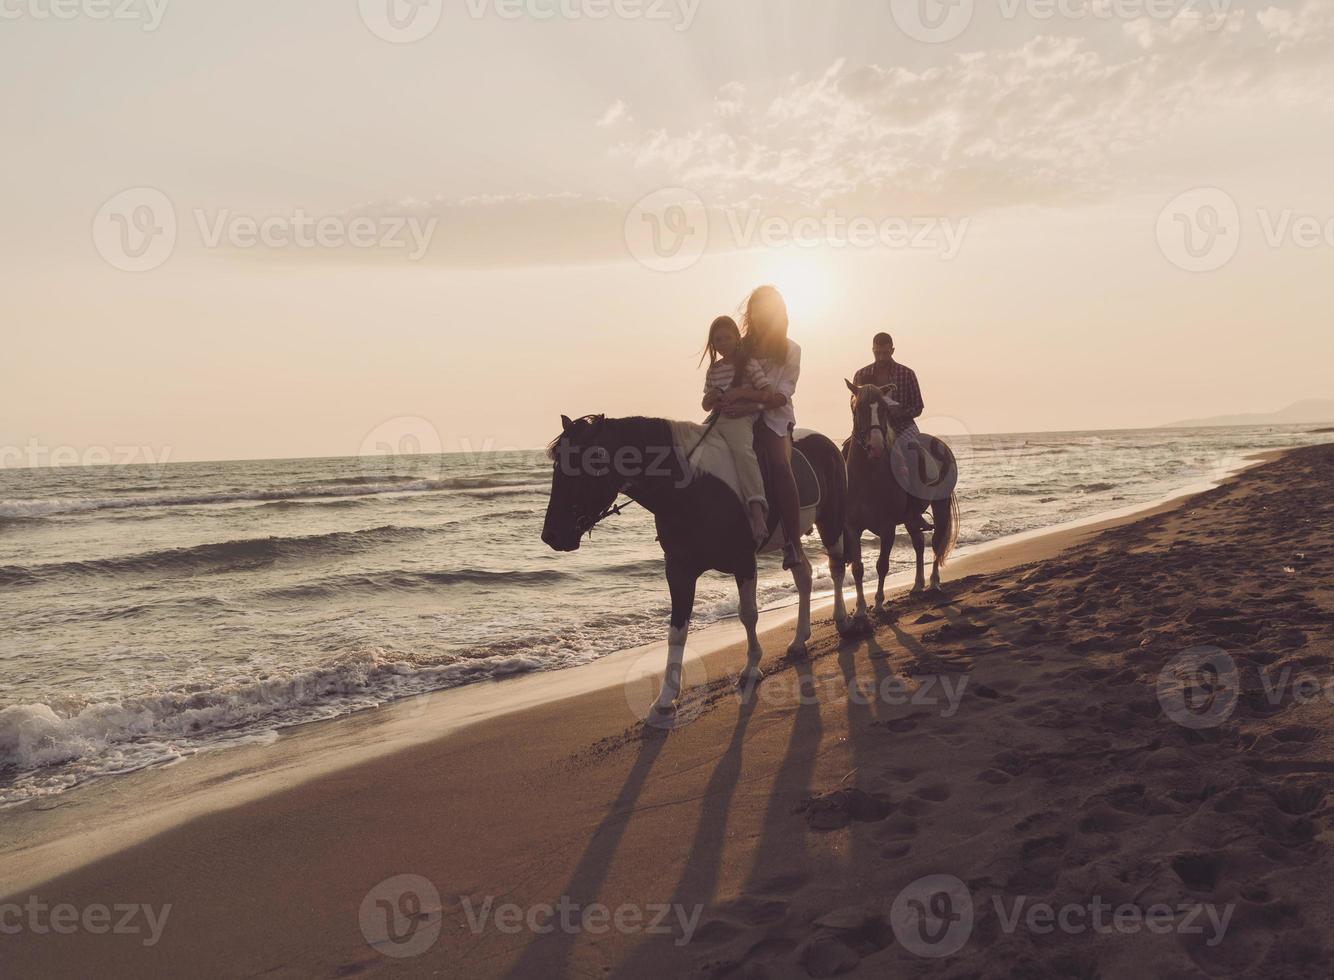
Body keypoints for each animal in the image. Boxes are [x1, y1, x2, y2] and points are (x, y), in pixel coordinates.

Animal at [538, 418, 843, 725]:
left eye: (584, 463)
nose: (551, 534)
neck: (690, 489)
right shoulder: (678, 569)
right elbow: (677, 631)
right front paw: (664, 701)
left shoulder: (743, 561)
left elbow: (748, 614)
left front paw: (751, 668)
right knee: (804, 576)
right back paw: (799, 639)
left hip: (831, 520)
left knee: (836, 568)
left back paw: (844, 619)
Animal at [832, 384, 960, 629]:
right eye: (859, 408)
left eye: (884, 409)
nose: (875, 446)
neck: (867, 477)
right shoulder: (852, 527)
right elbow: (858, 568)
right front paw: (860, 610)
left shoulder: (888, 527)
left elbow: (882, 565)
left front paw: (879, 605)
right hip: (911, 518)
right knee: (919, 544)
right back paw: (918, 584)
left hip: (940, 506)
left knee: (936, 542)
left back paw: (933, 583)